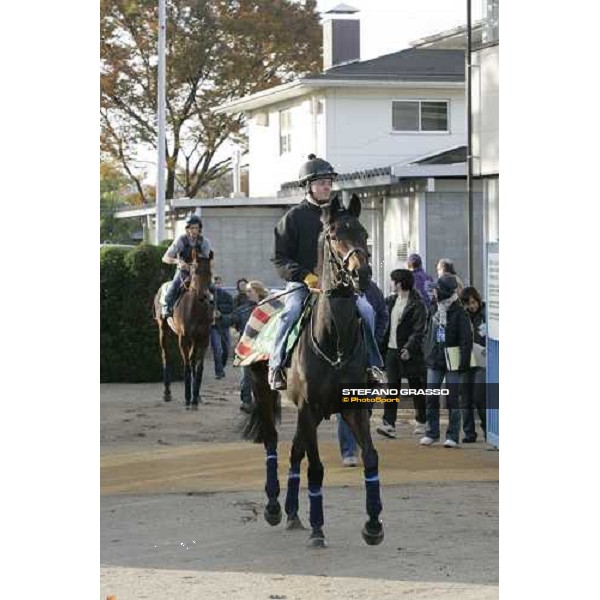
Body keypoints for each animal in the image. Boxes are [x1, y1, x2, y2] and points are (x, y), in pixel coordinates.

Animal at [152, 251, 213, 410]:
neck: (195, 310)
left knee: (192, 361)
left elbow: (198, 367)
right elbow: (186, 365)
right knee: (165, 356)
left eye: (210, 272)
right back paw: (167, 392)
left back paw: (197, 396)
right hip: (163, 329)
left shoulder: (203, 338)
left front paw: (195, 398)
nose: (203, 296)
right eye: (195, 271)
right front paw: (187, 398)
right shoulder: (183, 338)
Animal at [244, 196, 384, 548]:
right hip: (264, 391)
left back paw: (294, 513)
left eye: (364, 233)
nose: (361, 273)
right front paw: (319, 528)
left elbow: (371, 457)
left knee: (295, 452)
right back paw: (274, 507)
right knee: (272, 442)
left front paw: (373, 524)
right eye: (333, 235)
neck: (333, 341)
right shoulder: (308, 408)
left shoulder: (352, 408)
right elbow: (317, 468)